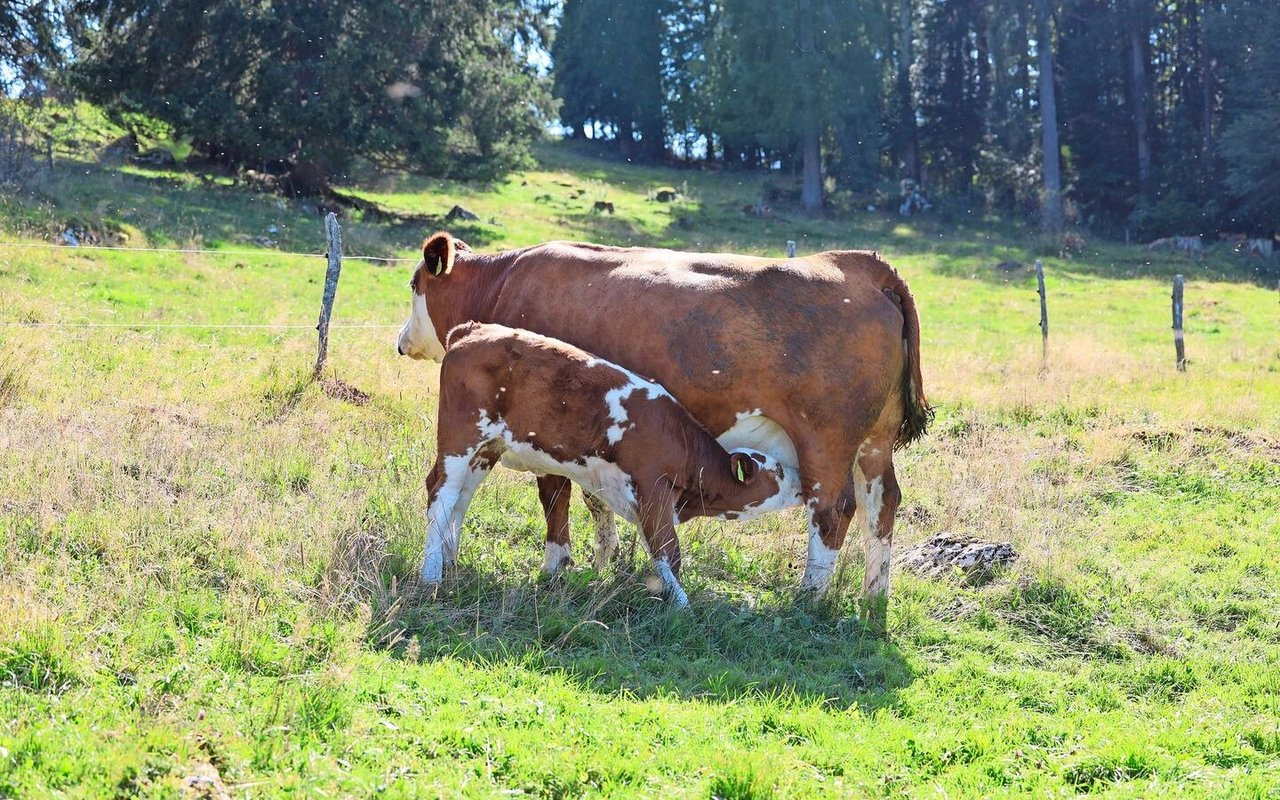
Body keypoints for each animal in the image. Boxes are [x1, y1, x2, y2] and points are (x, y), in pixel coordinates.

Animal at [419, 321, 798, 601]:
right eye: (777, 470)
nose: (800, 480)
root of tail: (473, 330)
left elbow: (653, 547)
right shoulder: (653, 488)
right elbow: (668, 549)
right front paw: (683, 606)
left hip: (487, 447)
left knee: (460, 498)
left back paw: (450, 560)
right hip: (460, 436)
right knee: (442, 494)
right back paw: (431, 575)